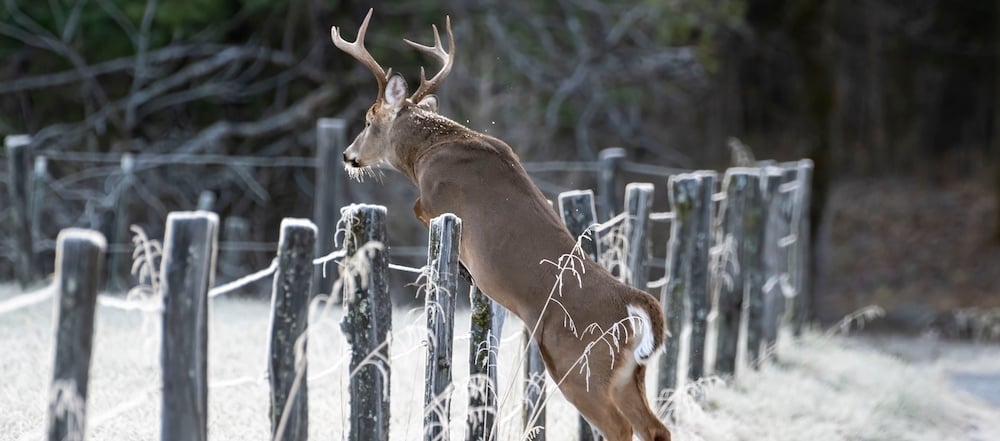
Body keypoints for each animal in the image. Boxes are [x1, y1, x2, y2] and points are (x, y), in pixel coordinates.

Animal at [336, 10, 672, 440]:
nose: (348, 155)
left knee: (619, 427)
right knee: (656, 428)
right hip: (631, 375)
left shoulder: (436, 200)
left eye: (367, 119)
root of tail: (634, 306)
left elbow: (415, 209)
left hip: (579, 365)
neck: (427, 152)